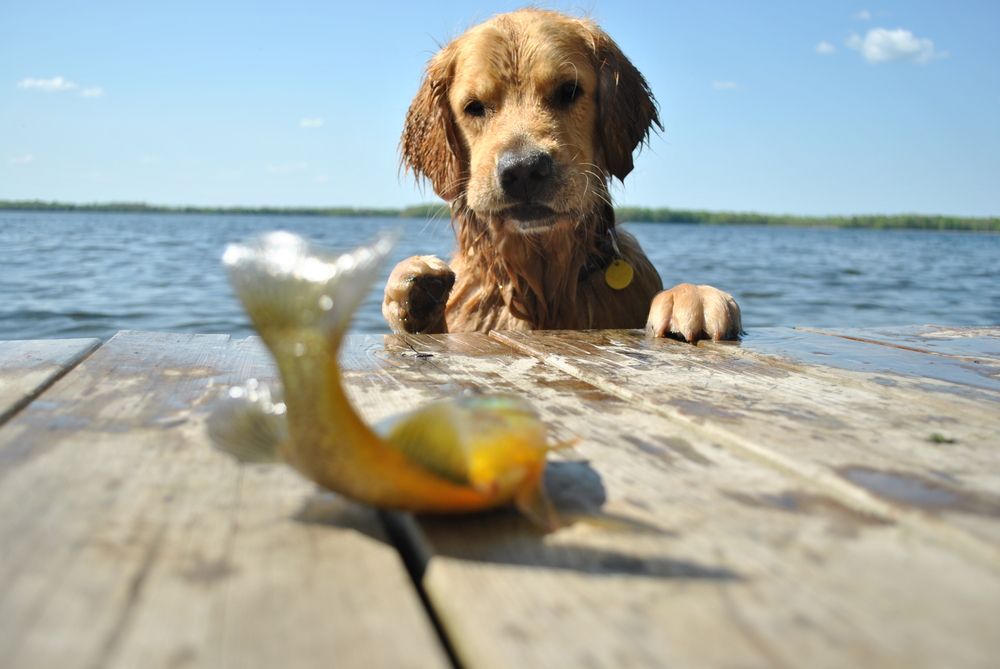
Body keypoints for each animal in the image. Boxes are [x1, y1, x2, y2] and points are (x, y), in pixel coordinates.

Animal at [382, 9, 744, 342]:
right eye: (474, 106)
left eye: (569, 91)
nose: (523, 170)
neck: (542, 291)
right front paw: (413, 292)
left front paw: (692, 295)